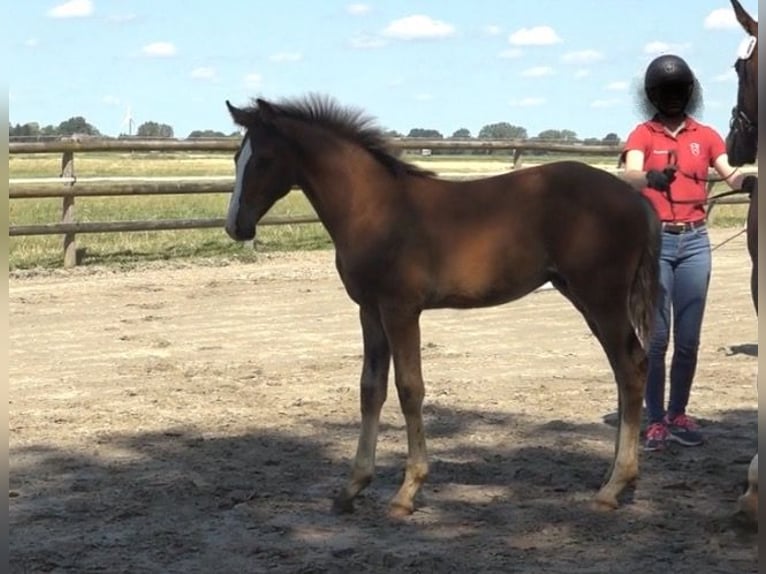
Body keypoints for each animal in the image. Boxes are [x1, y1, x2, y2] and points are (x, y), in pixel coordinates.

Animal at [225, 95, 664, 516]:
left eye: (263, 159)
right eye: (236, 158)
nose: (235, 227)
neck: (374, 209)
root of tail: (635, 198)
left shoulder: (401, 310)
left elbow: (409, 388)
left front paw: (406, 492)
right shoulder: (370, 310)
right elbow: (370, 390)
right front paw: (352, 487)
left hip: (602, 298)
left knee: (632, 368)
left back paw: (614, 486)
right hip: (582, 296)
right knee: (623, 371)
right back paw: (613, 476)